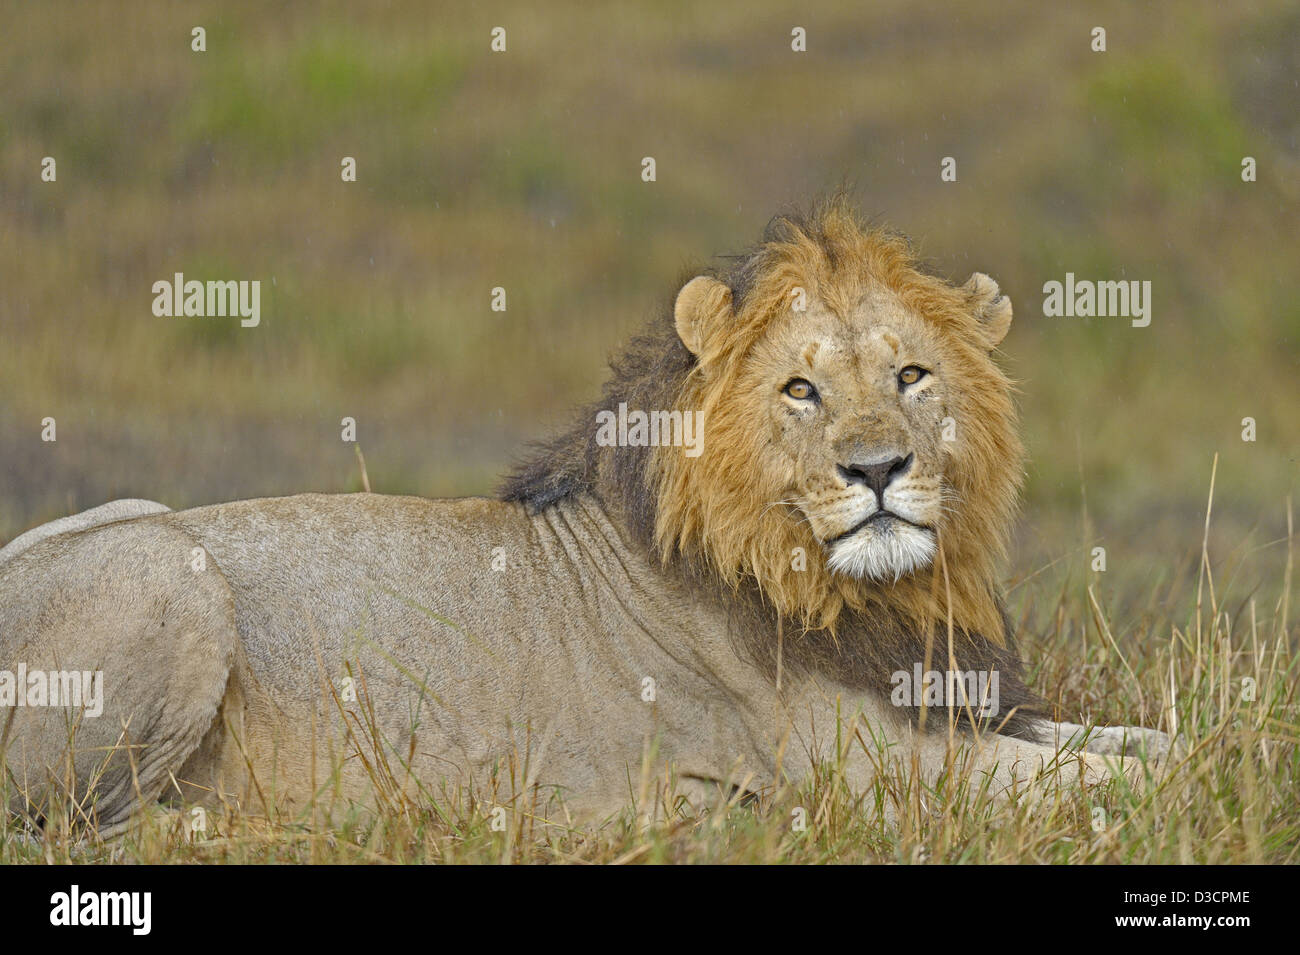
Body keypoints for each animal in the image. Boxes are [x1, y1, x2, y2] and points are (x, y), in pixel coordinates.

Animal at [0, 199, 1169, 837]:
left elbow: (1130, 738)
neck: (862, 593)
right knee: (91, 825)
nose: (877, 467)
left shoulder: (948, 704)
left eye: (913, 375)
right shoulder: (873, 772)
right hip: (168, 565)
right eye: (801, 389)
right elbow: (1106, 777)